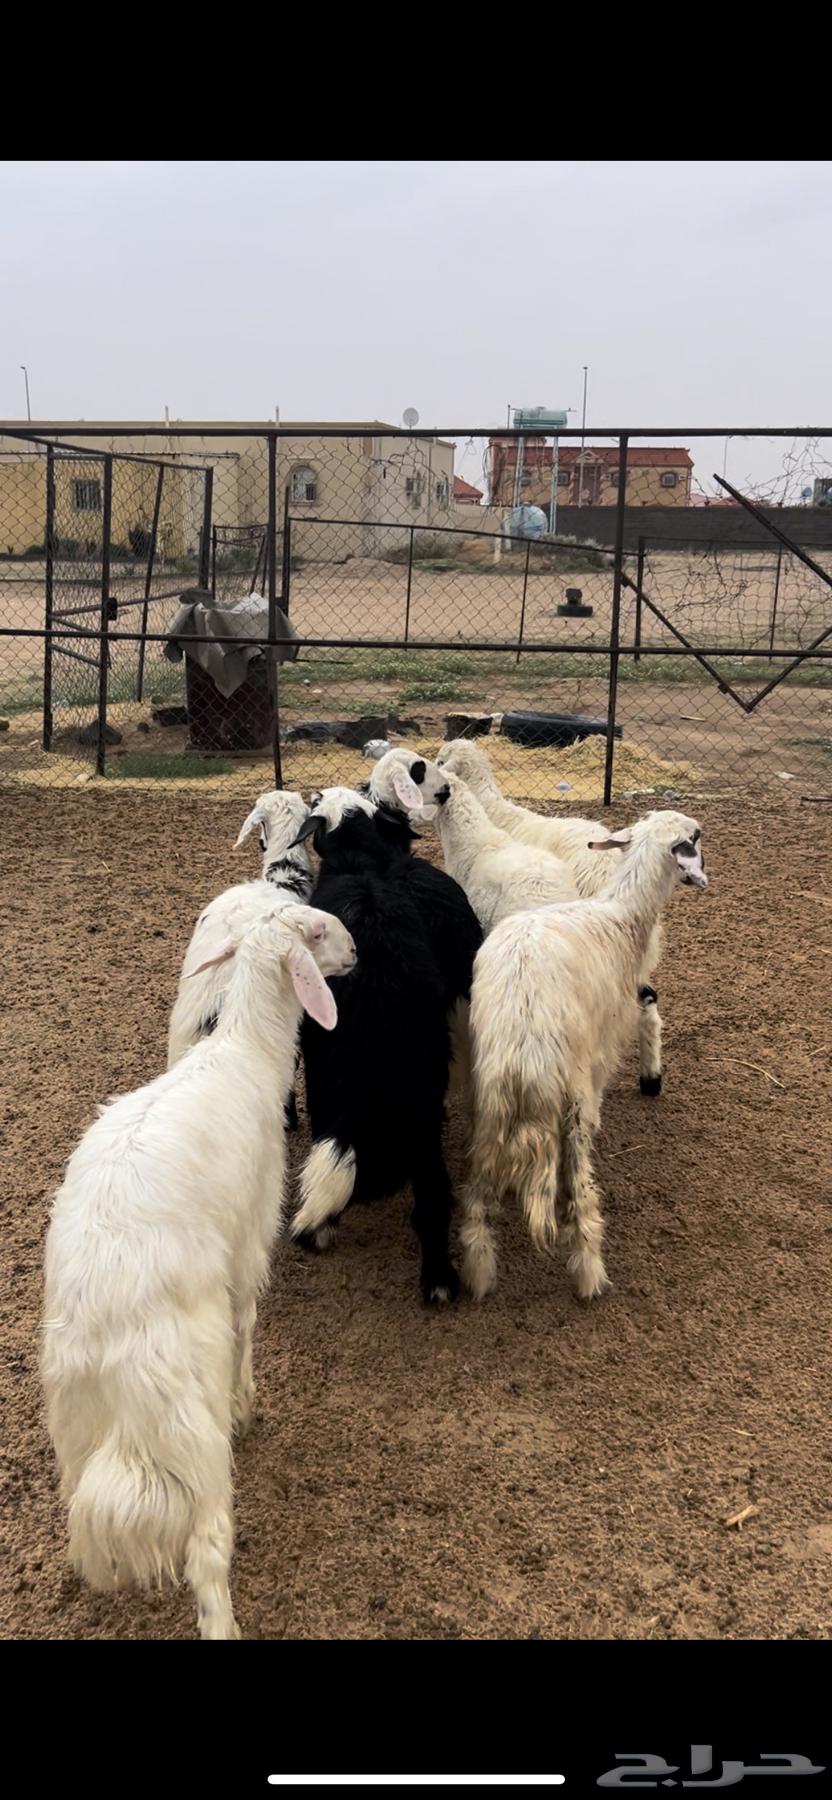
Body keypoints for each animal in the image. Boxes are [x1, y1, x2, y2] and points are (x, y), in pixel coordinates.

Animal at [41, 899, 356, 1642]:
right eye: (316, 932)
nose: (357, 951)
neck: (244, 1052)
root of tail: (105, 1329)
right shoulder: (248, 1240)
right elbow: (247, 1322)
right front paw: (249, 1404)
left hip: (76, 1424)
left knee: (82, 1513)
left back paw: (97, 1577)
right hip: (187, 1423)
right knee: (208, 1551)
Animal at [285, 787, 462, 1304]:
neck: (358, 866)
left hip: (329, 1086)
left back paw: (317, 1230)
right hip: (423, 1109)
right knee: (433, 1195)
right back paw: (439, 1282)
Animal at [459, 811, 707, 1305]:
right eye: (692, 838)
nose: (702, 834)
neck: (621, 916)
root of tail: (523, 1034)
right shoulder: (600, 1054)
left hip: (489, 1095)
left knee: (476, 1194)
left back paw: (478, 1273)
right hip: (570, 1091)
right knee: (579, 1187)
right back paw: (590, 1273)